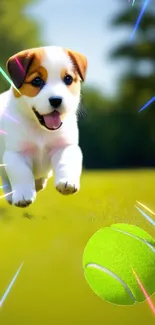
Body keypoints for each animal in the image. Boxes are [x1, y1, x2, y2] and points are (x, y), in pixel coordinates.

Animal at [0, 45, 87, 206]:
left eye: (68, 79)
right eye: (37, 81)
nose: (56, 100)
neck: (41, 129)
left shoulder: (65, 146)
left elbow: (66, 162)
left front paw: (67, 182)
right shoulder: (16, 153)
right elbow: (21, 172)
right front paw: (23, 195)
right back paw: (10, 194)